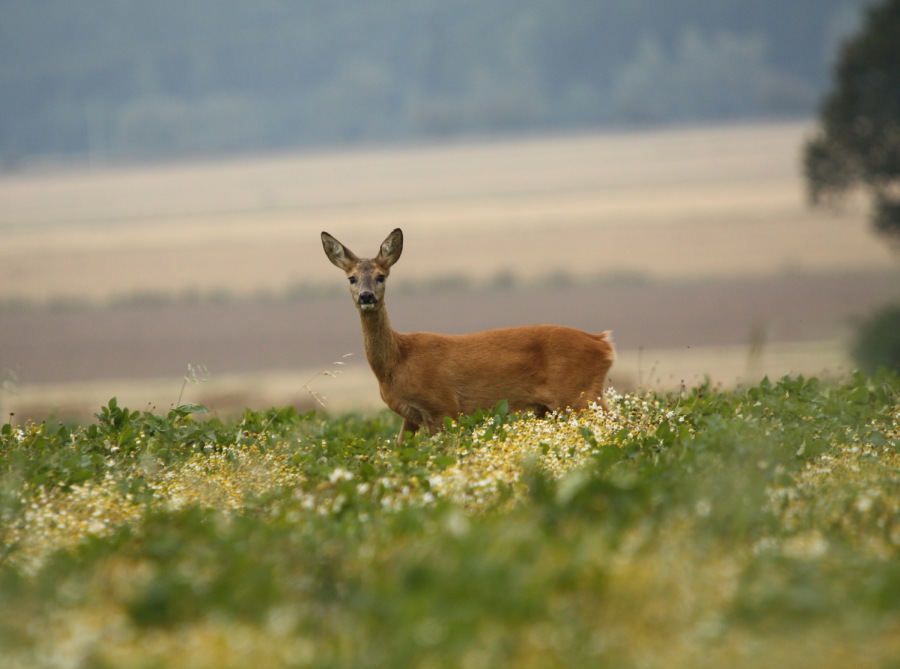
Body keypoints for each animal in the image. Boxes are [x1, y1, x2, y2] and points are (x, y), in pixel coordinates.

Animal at [321, 228, 615, 444]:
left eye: (381, 276)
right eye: (351, 278)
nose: (366, 296)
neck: (398, 362)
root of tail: (603, 343)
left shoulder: (442, 406)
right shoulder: (411, 416)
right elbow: (400, 449)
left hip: (578, 395)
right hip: (556, 406)